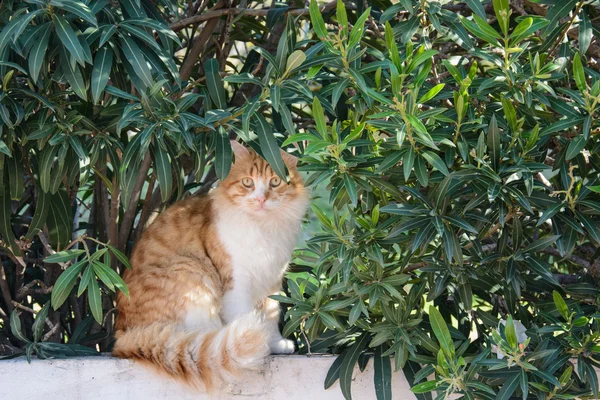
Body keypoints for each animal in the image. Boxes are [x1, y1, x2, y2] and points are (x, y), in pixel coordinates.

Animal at [113, 141, 310, 390]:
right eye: (248, 182)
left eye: (275, 182)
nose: (261, 199)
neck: (263, 227)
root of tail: (122, 335)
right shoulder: (236, 283)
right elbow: (247, 317)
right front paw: (260, 345)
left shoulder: (272, 281)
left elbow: (271, 316)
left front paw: (274, 343)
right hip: (192, 273)